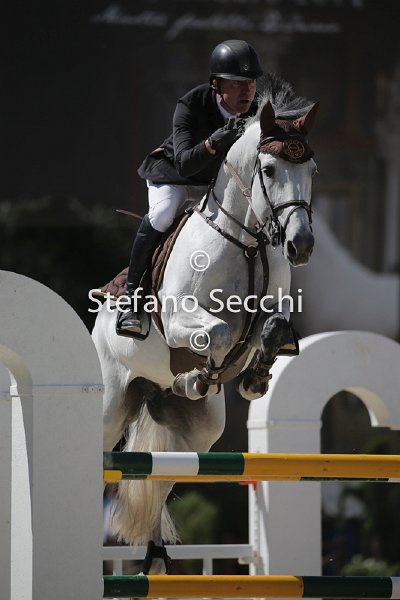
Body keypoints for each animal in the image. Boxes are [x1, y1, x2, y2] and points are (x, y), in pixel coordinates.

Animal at [92, 76, 319, 577]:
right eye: (268, 169)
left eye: (312, 169)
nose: (302, 245)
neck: (249, 241)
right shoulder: (182, 317)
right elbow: (215, 333)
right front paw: (198, 374)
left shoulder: (272, 309)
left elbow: (272, 330)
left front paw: (254, 378)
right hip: (111, 403)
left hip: (196, 431)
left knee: (159, 478)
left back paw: (156, 558)